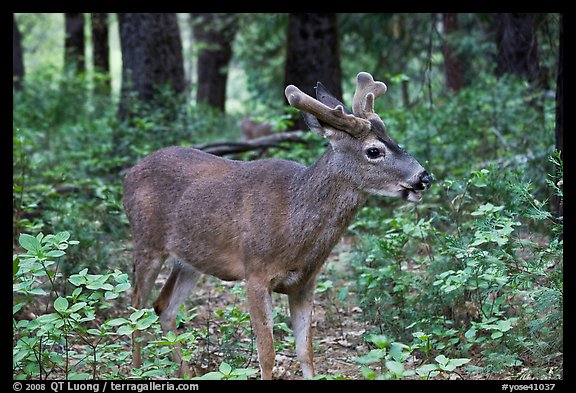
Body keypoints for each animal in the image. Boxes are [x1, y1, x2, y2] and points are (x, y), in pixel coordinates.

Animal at [125, 72, 432, 378]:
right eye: (373, 150)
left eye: (392, 139)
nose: (424, 176)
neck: (292, 224)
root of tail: (129, 174)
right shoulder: (255, 273)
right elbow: (267, 355)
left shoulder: (305, 283)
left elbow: (306, 353)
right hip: (146, 241)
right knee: (136, 306)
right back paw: (135, 370)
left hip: (190, 260)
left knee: (163, 306)